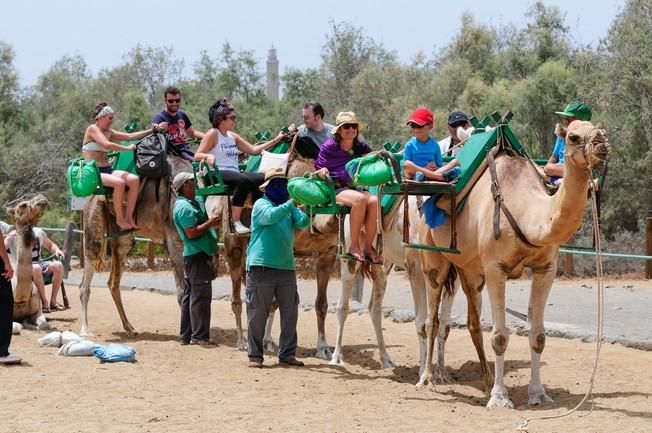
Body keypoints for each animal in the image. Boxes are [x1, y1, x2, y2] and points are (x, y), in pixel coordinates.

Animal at [77, 157, 218, 336]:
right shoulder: (174, 239)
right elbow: (182, 291)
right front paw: (187, 333)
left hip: (122, 234)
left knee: (113, 281)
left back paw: (129, 327)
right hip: (94, 219)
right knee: (86, 279)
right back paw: (85, 330)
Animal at [416, 120, 608, 406]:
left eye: (599, 128)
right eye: (573, 136)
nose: (601, 142)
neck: (526, 212)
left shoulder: (545, 269)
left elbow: (538, 336)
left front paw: (538, 394)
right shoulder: (496, 269)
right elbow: (499, 336)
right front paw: (499, 397)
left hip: (468, 269)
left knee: (472, 322)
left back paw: (484, 381)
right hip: (433, 259)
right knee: (432, 318)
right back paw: (427, 378)